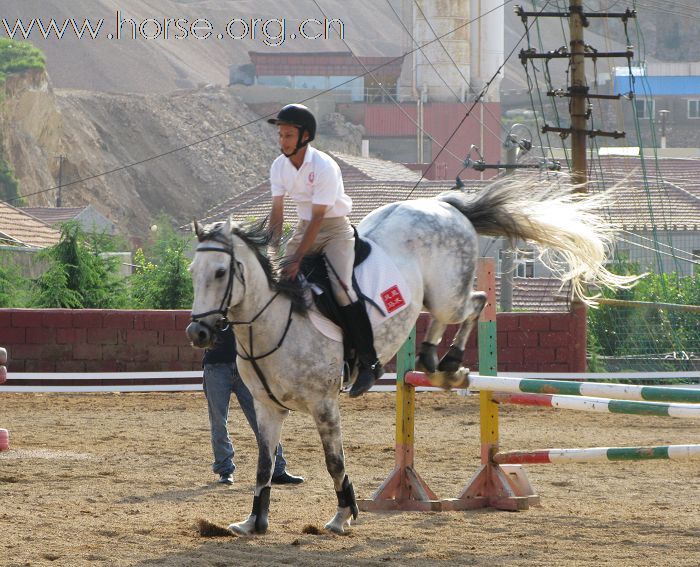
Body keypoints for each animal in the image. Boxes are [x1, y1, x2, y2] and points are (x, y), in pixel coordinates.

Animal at [187, 180, 640, 536]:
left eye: (221, 273)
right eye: (193, 271)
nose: (198, 333)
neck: (274, 320)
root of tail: (445, 205)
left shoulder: (324, 405)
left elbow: (334, 462)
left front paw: (342, 517)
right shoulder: (267, 408)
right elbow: (264, 466)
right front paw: (254, 522)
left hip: (448, 293)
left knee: (476, 301)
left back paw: (450, 361)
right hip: (429, 296)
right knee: (443, 315)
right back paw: (428, 358)